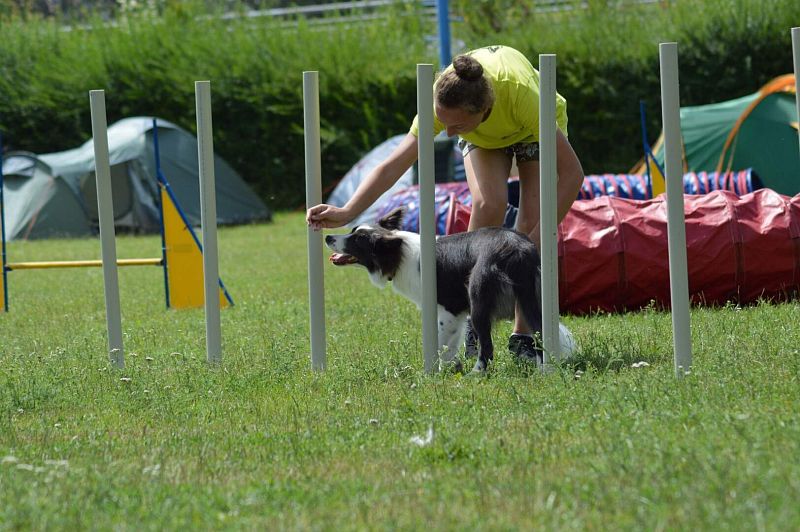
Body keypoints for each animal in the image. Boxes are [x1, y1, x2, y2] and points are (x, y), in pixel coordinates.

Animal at [324, 208, 576, 374]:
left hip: (479, 298)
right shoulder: (456, 314)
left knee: (488, 346)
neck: (399, 253)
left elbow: (440, 343)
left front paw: (433, 371)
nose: (327, 236)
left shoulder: (450, 309)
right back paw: (544, 371)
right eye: (352, 231)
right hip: (531, 298)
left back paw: (477, 375)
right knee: (541, 332)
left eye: (357, 240)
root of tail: (517, 248)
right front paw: (450, 367)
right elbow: (451, 345)